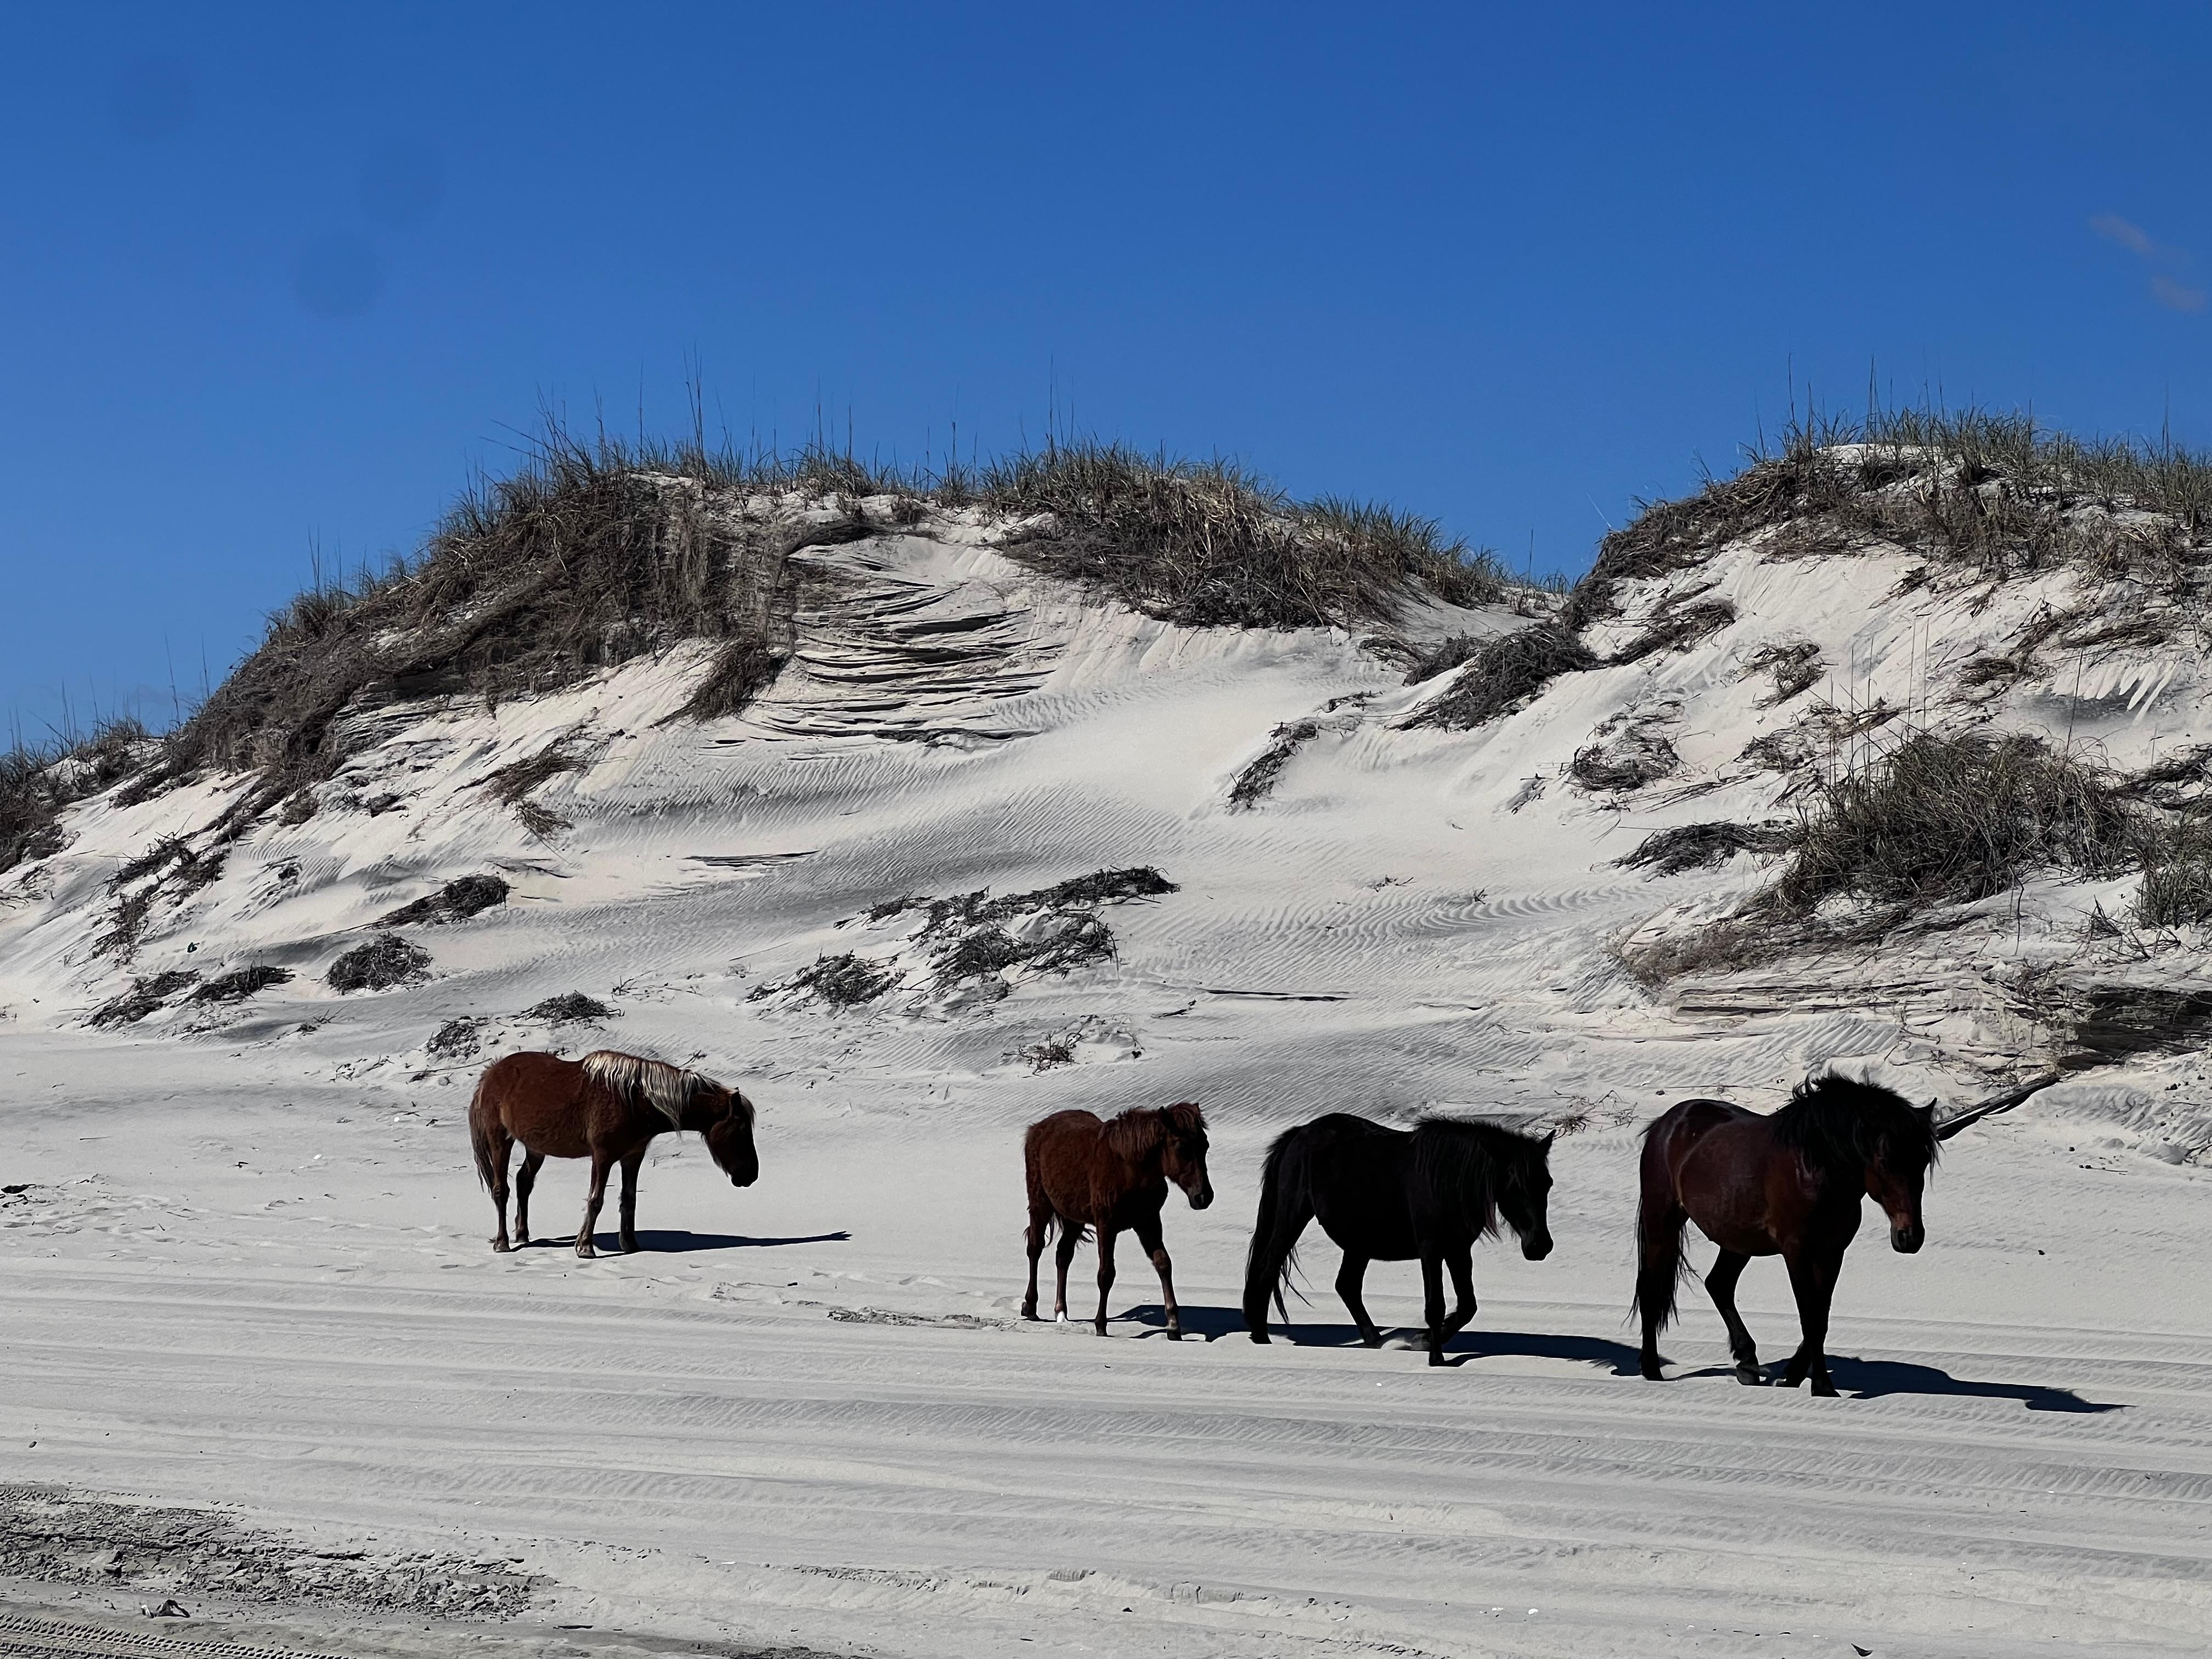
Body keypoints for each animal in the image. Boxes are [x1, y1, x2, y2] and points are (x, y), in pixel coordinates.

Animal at [467, 1049, 759, 1256]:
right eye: (742, 1128)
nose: (750, 1175)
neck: (635, 1098)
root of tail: (492, 1072)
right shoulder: (603, 1156)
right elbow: (596, 1201)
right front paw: (585, 1247)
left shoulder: (633, 1156)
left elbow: (629, 1200)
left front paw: (630, 1244)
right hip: (500, 1141)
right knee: (501, 1190)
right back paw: (503, 1243)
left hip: (536, 1148)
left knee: (524, 1183)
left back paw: (523, 1234)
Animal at [1021, 1102, 1213, 1337]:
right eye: (1182, 1148)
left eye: (1205, 1145)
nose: (1203, 1197)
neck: (1128, 1170)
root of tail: (1037, 1128)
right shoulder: (1107, 1226)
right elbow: (1106, 1274)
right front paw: (1101, 1326)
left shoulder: (1149, 1223)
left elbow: (1163, 1264)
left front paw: (1173, 1325)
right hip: (1040, 1204)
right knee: (1035, 1248)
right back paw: (1030, 1306)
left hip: (1074, 1217)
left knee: (1063, 1255)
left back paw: (1061, 1312)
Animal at [1243, 1113, 1555, 1365]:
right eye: (1513, 1186)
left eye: (1548, 1184)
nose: (1540, 1245)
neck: (1446, 1179)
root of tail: (1299, 1134)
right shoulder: (1431, 1249)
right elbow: (1436, 1305)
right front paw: (1436, 1358)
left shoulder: (1458, 1249)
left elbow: (1467, 1306)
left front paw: (1423, 1341)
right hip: (1292, 1217)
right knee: (1268, 1271)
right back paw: (1261, 1339)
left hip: (1359, 1242)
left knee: (1347, 1286)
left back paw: (1375, 1340)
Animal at [1634, 1072, 1946, 1396]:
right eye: (1885, 1160)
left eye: (1923, 1161)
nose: (1910, 1237)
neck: (1816, 1167)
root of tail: (1667, 1123)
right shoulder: (1797, 1252)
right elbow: (1810, 1317)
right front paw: (1823, 1387)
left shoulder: (1832, 1252)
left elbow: (1821, 1318)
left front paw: (1794, 1375)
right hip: (1662, 1225)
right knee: (1650, 1289)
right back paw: (1652, 1369)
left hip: (1738, 1241)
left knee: (1719, 1285)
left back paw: (1747, 1362)